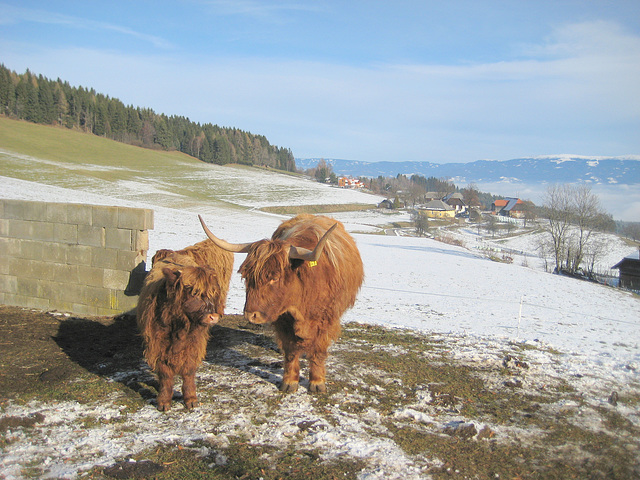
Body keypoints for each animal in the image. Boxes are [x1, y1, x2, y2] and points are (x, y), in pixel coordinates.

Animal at [136, 242, 234, 410]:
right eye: (193, 292)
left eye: (212, 292)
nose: (213, 316)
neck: (179, 328)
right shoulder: (157, 344)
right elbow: (165, 374)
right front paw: (163, 402)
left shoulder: (194, 344)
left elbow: (188, 371)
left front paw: (191, 399)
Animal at [198, 215, 362, 394]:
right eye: (246, 277)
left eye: (275, 278)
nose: (251, 315)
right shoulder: (283, 321)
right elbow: (290, 351)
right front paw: (289, 382)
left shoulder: (326, 321)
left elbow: (318, 352)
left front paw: (317, 383)